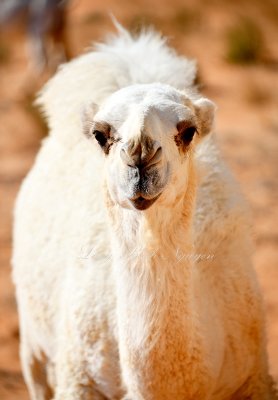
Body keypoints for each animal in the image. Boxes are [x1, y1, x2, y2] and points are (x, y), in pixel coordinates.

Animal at [11, 25, 276, 400]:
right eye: (100, 135)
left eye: (188, 131)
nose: (140, 155)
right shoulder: (79, 379)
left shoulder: (252, 377)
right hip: (33, 345)